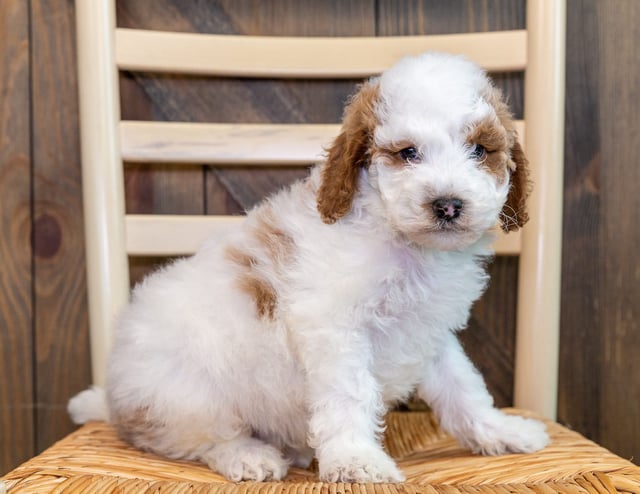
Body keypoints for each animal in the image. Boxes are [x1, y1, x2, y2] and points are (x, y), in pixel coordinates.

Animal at [71, 53, 552, 482]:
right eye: (408, 153)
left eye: (480, 149)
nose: (448, 205)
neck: (406, 245)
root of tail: (113, 399)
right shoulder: (334, 326)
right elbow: (349, 393)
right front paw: (356, 460)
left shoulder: (429, 333)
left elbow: (462, 387)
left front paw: (501, 431)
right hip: (186, 394)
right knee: (202, 439)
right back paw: (248, 456)